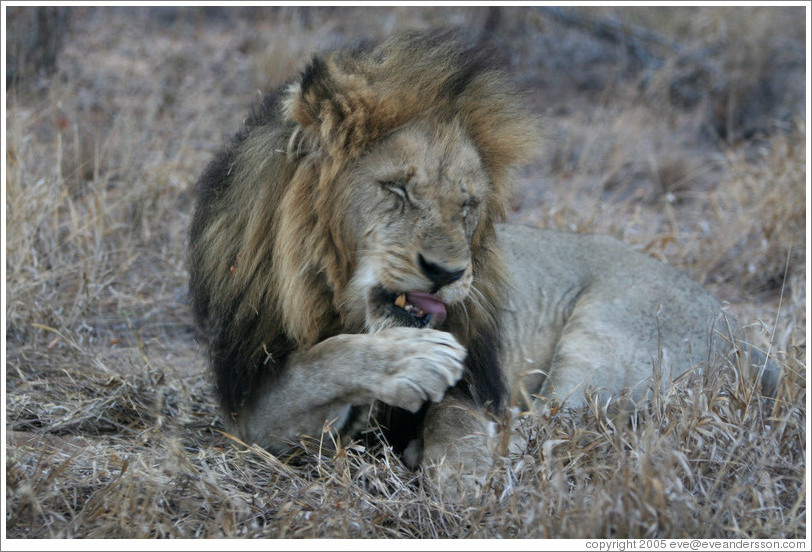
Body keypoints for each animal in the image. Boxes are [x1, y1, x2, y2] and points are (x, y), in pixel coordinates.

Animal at [188, 29, 776, 491]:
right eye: (397, 189)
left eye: (467, 205)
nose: (446, 273)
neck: (330, 296)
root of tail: (744, 333)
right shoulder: (247, 411)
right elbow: (317, 366)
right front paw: (407, 363)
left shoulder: (479, 378)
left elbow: (460, 418)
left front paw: (462, 469)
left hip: (605, 343)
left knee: (550, 426)